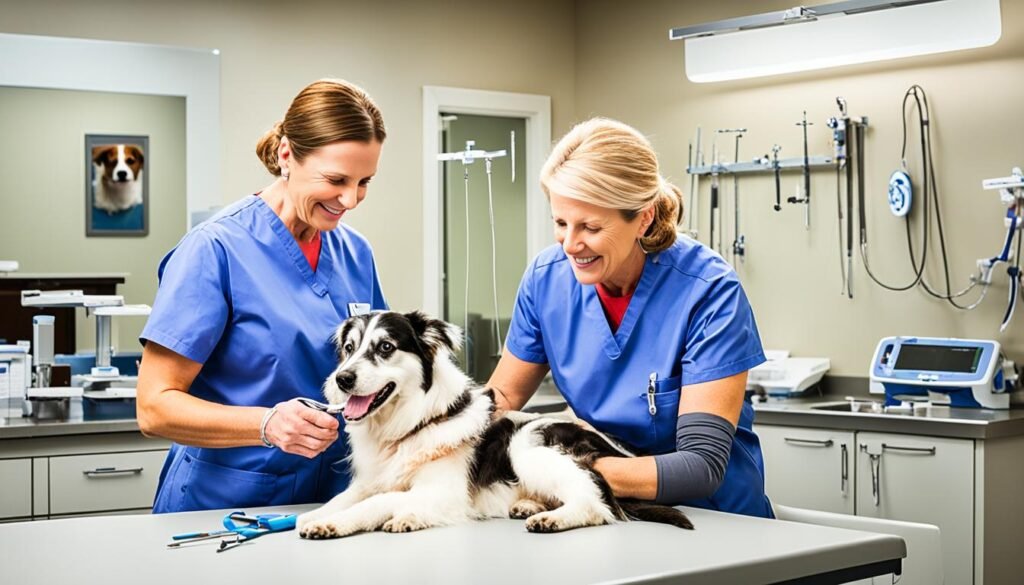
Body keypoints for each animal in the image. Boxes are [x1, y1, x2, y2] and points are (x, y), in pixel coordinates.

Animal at [299, 311, 696, 540]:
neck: (414, 424)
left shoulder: (443, 492)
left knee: (595, 503)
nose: (342, 379)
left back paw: (554, 518)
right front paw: (317, 516)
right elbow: (345, 497)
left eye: (385, 347)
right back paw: (530, 506)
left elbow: (380, 501)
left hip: (526, 443)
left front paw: (341, 523)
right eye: (349, 348)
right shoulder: (372, 480)